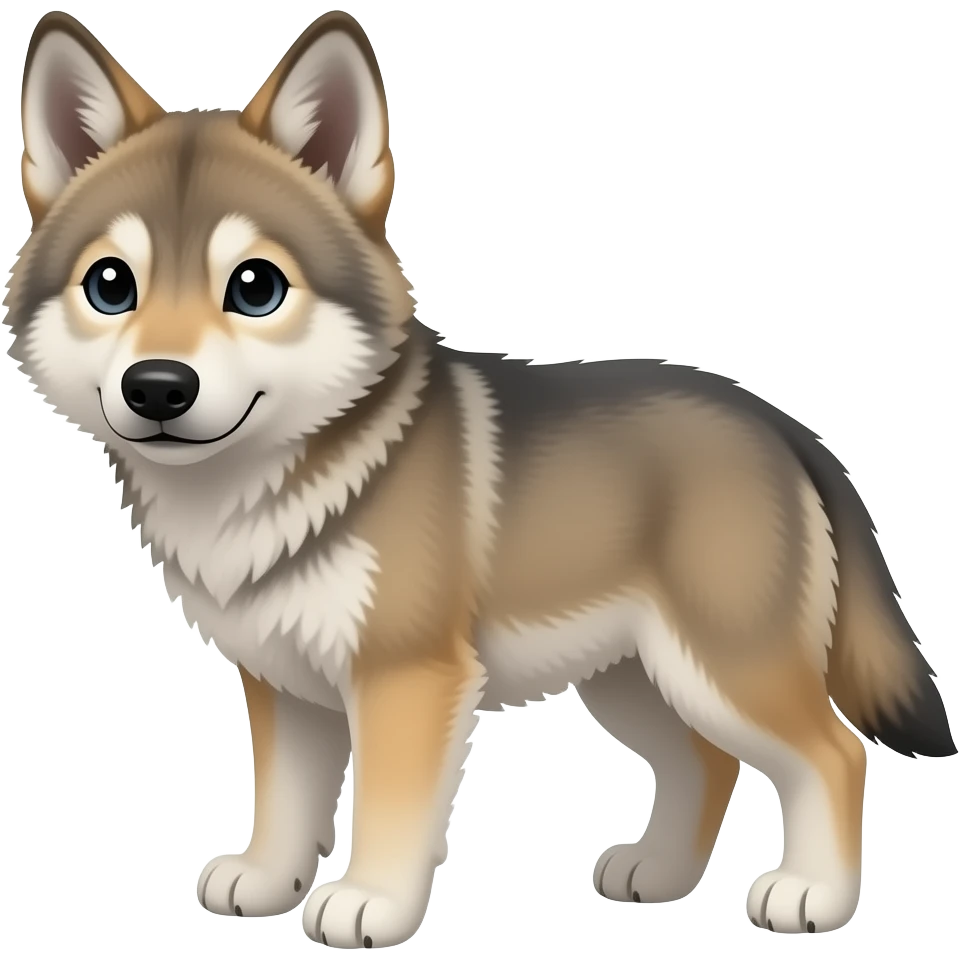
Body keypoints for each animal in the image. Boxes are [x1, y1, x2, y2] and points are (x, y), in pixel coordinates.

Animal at [4, 8, 955, 948]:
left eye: (256, 287)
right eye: (111, 284)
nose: (158, 387)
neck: (268, 486)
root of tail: (782, 425)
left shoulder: (408, 678)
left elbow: (389, 812)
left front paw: (370, 904)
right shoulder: (286, 684)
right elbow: (283, 803)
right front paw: (268, 881)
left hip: (724, 666)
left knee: (833, 753)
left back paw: (813, 896)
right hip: (634, 679)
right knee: (709, 761)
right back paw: (660, 873)